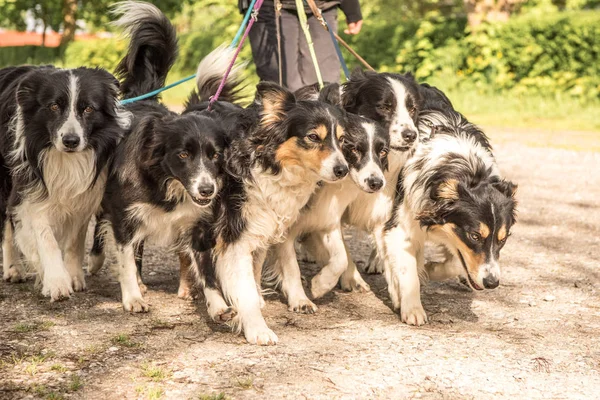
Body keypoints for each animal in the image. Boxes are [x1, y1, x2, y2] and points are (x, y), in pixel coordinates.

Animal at [0, 61, 131, 300]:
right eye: (53, 106)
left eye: (88, 109)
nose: (71, 141)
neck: (65, 159)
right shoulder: (31, 188)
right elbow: (45, 237)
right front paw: (56, 281)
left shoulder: (84, 197)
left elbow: (75, 240)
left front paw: (73, 275)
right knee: (6, 219)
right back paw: (13, 268)